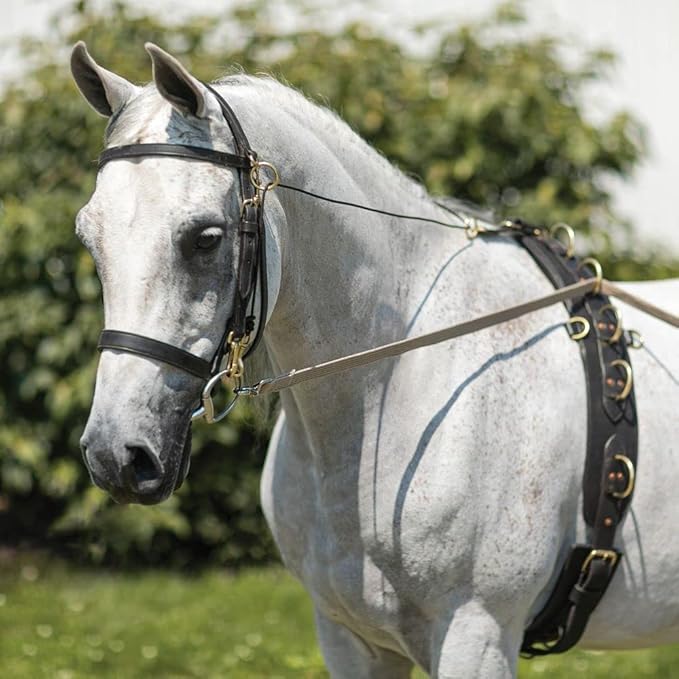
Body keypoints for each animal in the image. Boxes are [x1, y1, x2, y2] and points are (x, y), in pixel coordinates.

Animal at [70, 41, 679, 677]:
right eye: (90, 238)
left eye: (206, 238)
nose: (117, 455)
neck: (398, 379)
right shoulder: (349, 637)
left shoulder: (477, 634)